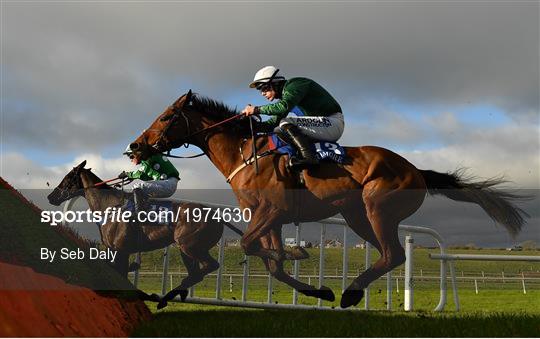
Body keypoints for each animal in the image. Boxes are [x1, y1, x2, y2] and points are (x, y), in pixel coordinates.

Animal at [48, 161, 243, 310]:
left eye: (67, 178)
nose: (51, 197)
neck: (110, 206)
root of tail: (216, 216)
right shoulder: (114, 250)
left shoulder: (121, 250)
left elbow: (120, 272)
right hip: (186, 250)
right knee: (196, 273)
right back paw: (170, 295)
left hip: (189, 245)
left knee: (209, 266)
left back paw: (169, 294)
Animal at [130, 91, 528, 310]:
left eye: (167, 116)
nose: (135, 145)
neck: (247, 151)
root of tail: (416, 170)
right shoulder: (267, 215)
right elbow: (270, 263)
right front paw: (313, 284)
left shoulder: (271, 210)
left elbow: (251, 245)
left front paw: (294, 253)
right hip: (357, 217)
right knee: (386, 255)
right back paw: (350, 290)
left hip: (377, 207)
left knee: (394, 254)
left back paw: (351, 292)